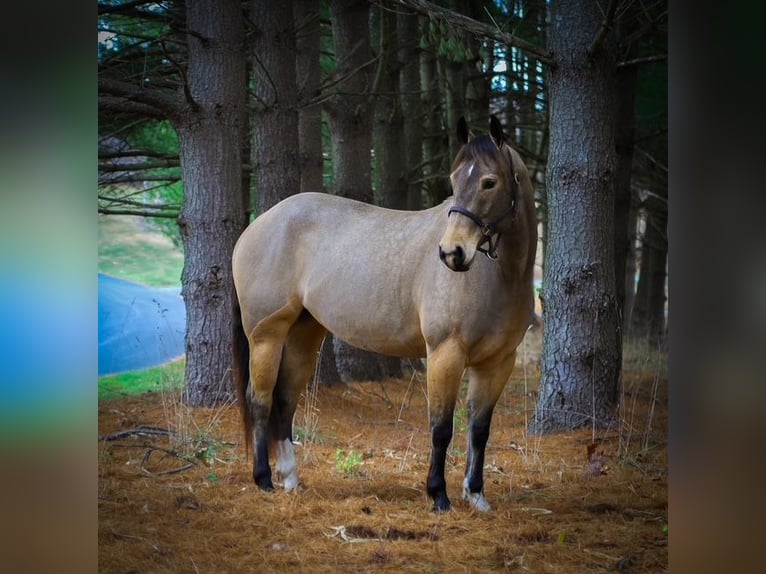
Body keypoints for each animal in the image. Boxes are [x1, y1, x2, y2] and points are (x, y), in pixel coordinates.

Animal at [231, 116, 536, 512]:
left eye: (489, 182)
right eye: (454, 181)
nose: (451, 253)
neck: (500, 276)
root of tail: (257, 225)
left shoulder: (498, 363)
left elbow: (479, 430)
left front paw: (476, 495)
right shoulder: (445, 354)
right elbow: (441, 429)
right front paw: (439, 496)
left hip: (304, 334)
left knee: (284, 399)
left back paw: (290, 477)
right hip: (265, 335)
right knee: (260, 399)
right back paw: (263, 479)